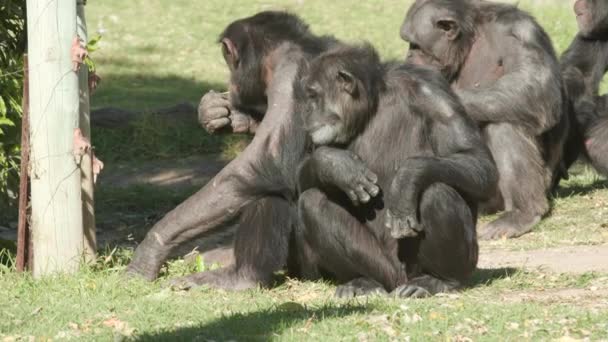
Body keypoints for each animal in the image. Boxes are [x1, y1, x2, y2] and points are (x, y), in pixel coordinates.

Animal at [126, 11, 340, 288]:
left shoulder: (289, 81)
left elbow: (265, 160)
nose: (231, 81)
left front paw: (151, 248)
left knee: (262, 188)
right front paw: (218, 113)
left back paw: (240, 277)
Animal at [294, 44, 498, 296]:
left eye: (313, 95)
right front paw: (335, 165)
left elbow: (476, 159)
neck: (372, 106)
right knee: (313, 201)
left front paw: (406, 180)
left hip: (443, 263)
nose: (306, 113)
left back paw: (438, 281)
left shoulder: (432, 93)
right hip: (383, 267)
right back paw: (362, 281)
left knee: (435, 193)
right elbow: (303, 173)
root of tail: (399, 280)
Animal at [400, 0, 568, 240]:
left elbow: (535, 82)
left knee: (504, 124)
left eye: (415, 45)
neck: (468, 42)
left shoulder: (518, 30)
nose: (408, 57)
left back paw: (521, 213)